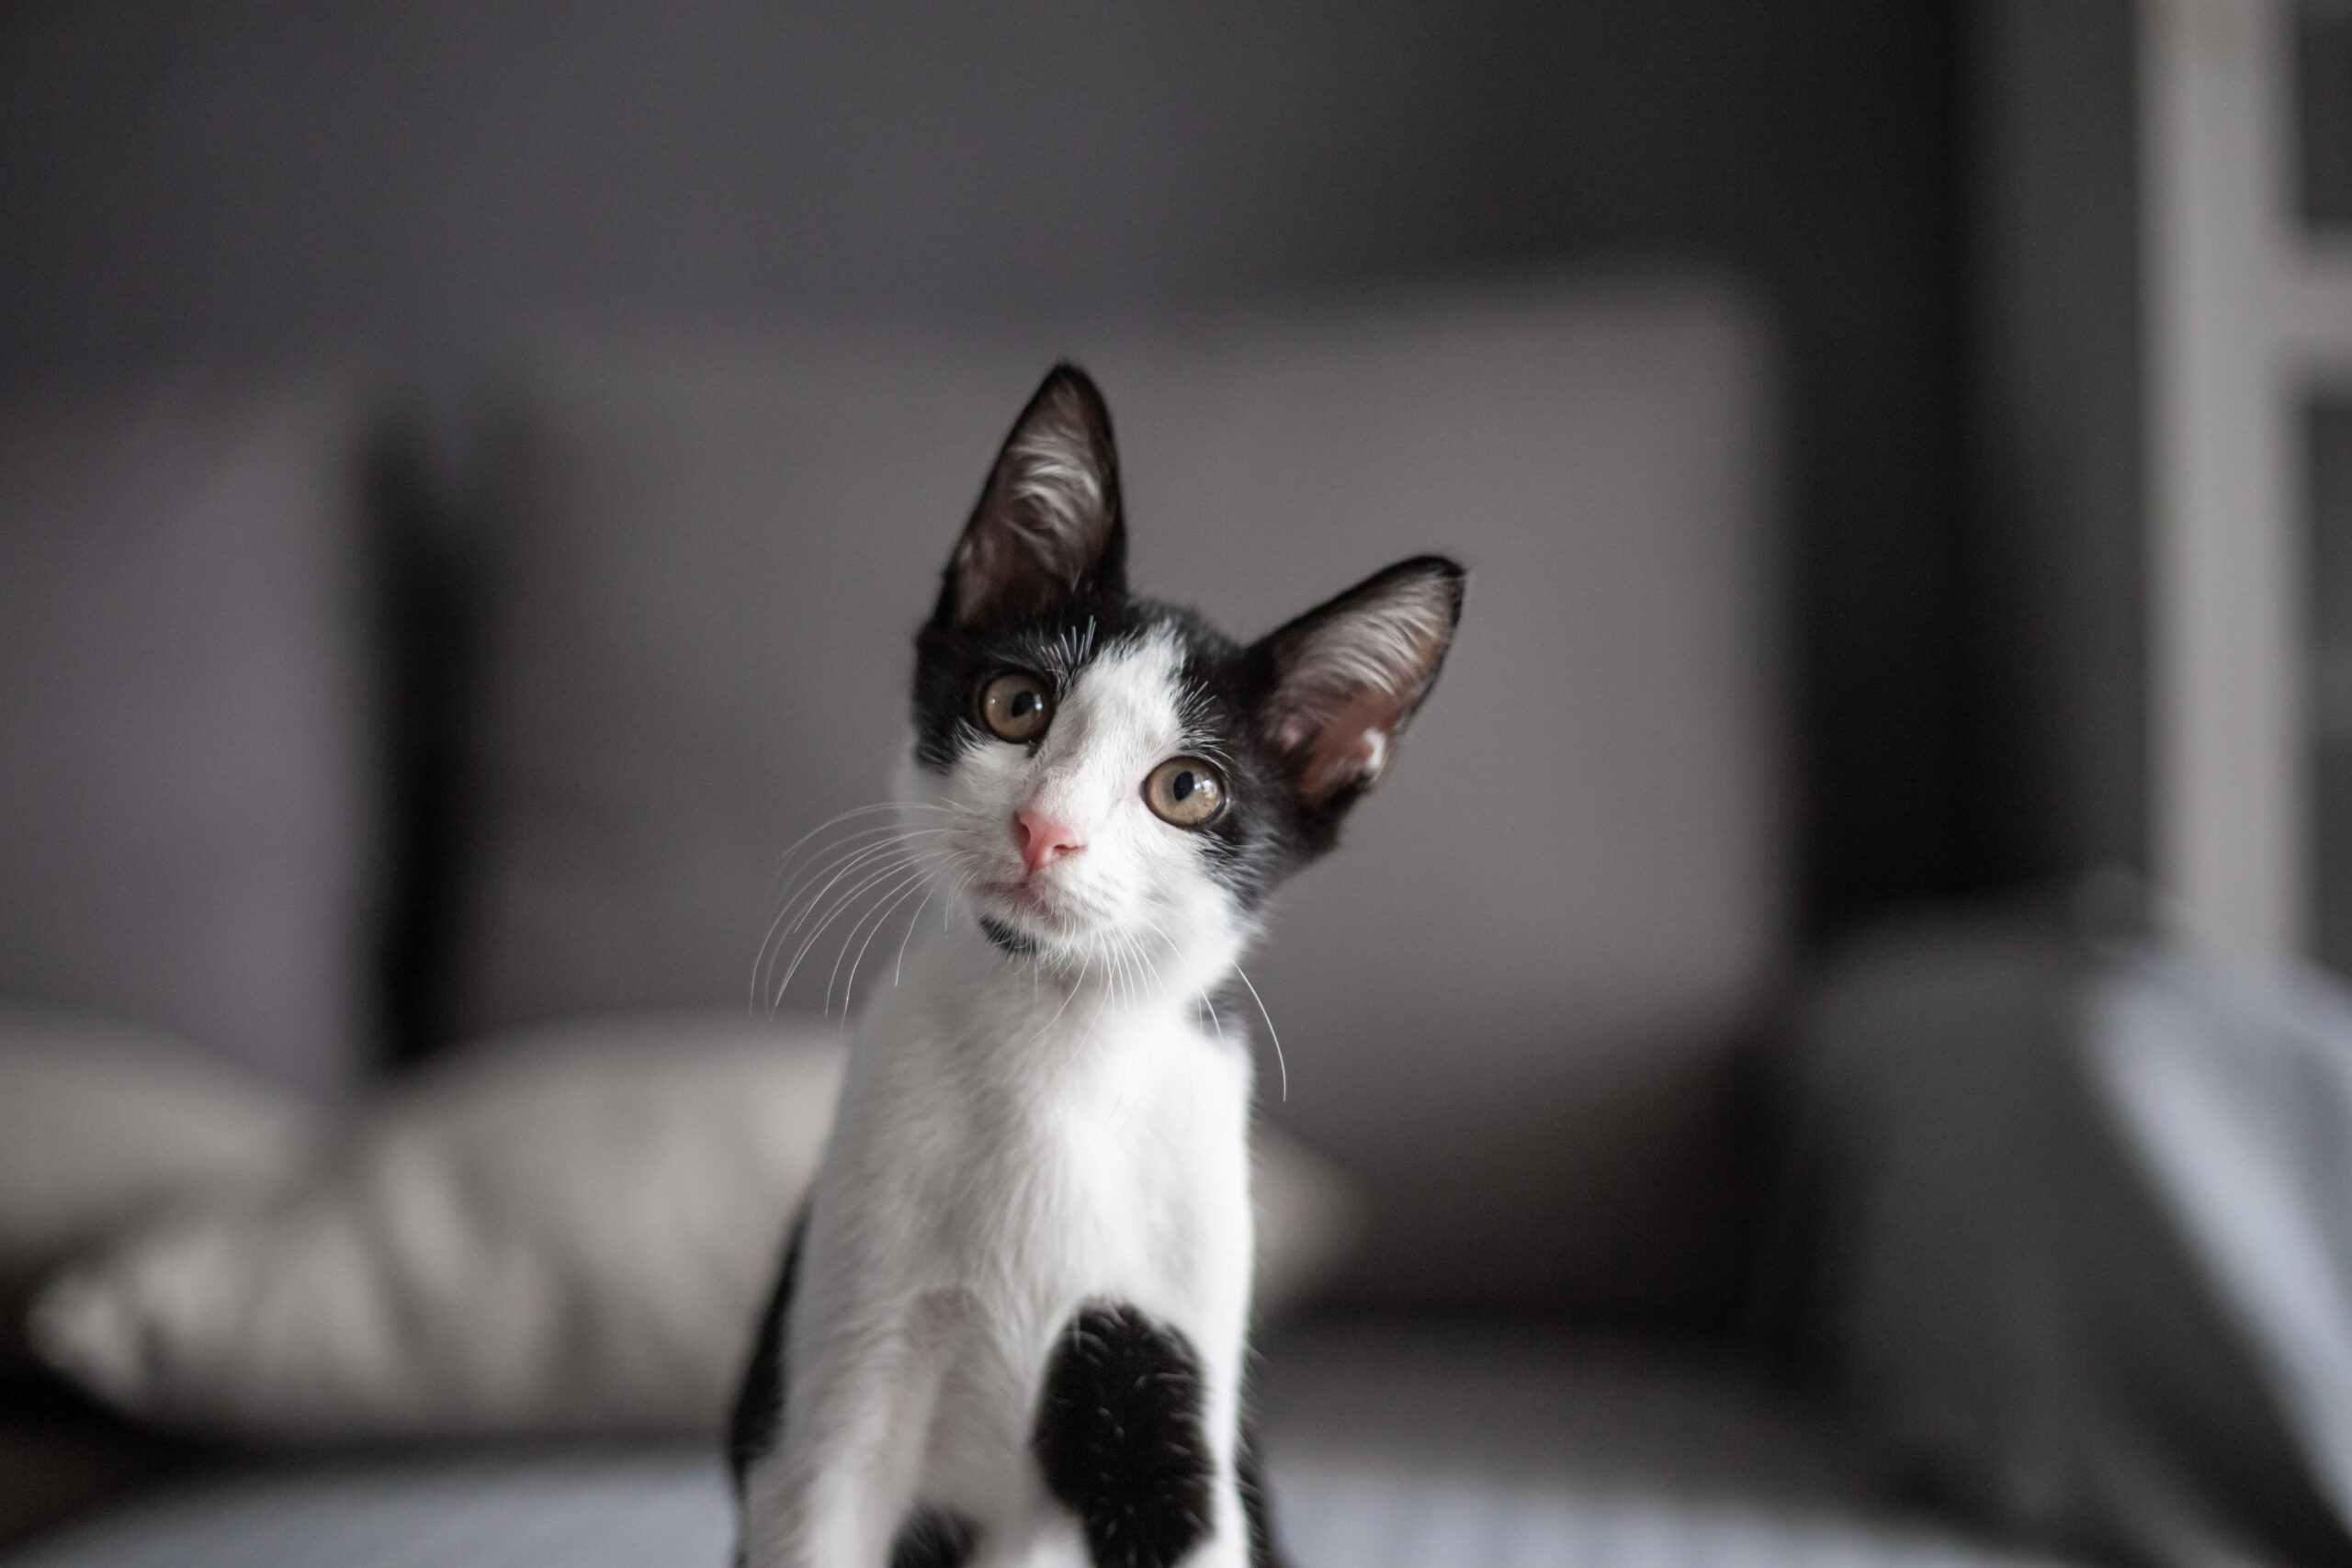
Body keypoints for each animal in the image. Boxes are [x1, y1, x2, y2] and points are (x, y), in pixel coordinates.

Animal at [733, 364, 1467, 1568]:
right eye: (1014, 704)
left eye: (1187, 789)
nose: (1045, 830)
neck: (1053, 1050)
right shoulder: (831, 1401)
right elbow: (820, 1502)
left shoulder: (1173, 1414)